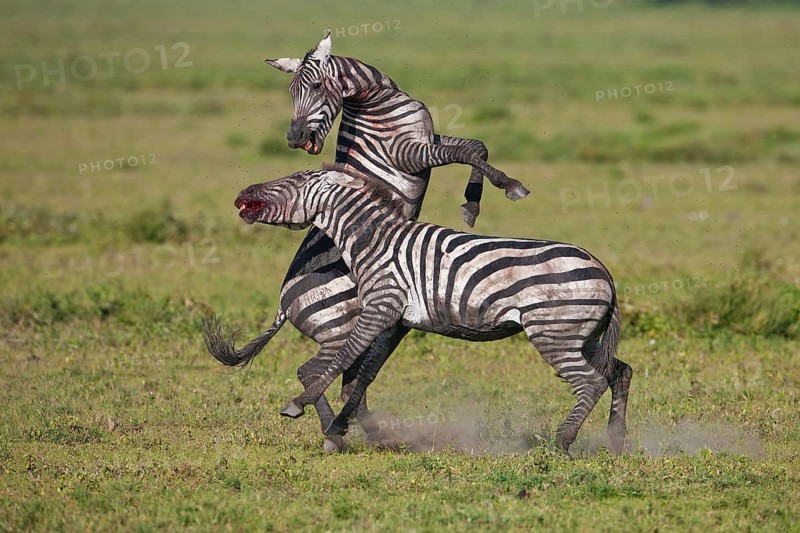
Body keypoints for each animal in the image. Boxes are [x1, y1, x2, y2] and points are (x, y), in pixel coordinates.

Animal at [205, 32, 529, 452]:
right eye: (291, 92)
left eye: (313, 87)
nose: (294, 138)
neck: (377, 102)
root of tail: (284, 302)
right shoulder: (410, 153)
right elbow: (469, 150)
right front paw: (507, 188)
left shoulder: (427, 138)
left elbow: (477, 145)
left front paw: (472, 205)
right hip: (340, 327)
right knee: (319, 371)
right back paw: (341, 434)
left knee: (344, 379)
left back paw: (357, 433)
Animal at [231, 164, 632, 458]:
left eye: (294, 180)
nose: (241, 193)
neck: (374, 240)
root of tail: (604, 270)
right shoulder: (392, 319)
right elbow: (360, 374)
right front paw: (340, 426)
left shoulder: (382, 305)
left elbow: (342, 357)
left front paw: (300, 406)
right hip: (580, 335)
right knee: (619, 372)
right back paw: (615, 440)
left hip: (553, 332)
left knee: (591, 381)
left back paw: (562, 442)